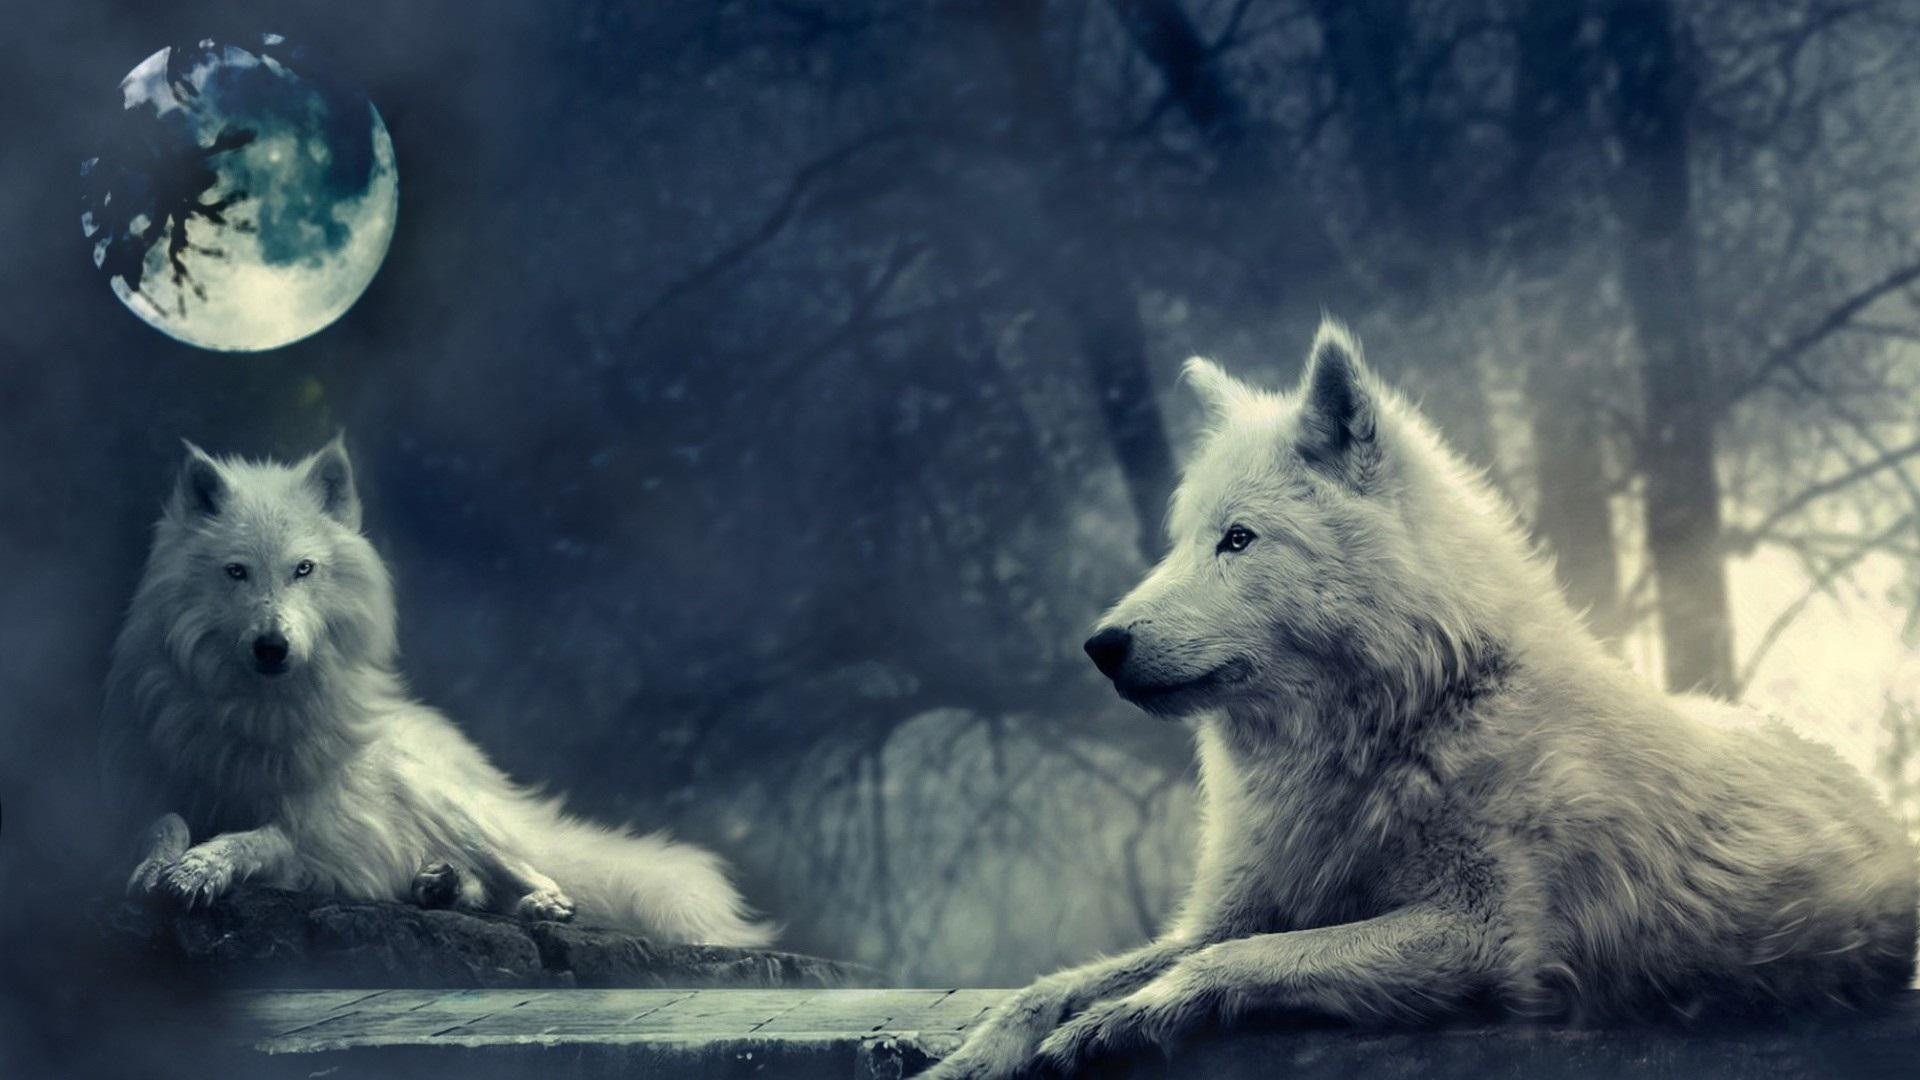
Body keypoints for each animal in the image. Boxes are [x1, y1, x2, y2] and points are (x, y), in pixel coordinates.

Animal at [101, 437, 770, 946]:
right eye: (236, 572)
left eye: (303, 569)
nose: (272, 647)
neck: (257, 714)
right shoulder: (152, 790)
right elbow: (163, 823)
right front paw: (160, 865)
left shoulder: (318, 836)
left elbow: (255, 838)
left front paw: (201, 868)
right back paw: (440, 884)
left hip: (445, 802)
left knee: (532, 871)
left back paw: (535, 903)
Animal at [927, 320, 1918, 1078]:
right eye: (1179, 543)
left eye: (1238, 539)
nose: (1102, 646)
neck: (1413, 718)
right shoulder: (1239, 905)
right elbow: (1057, 983)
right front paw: (978, 1054)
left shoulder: (1484, 938)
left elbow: (1232, 960)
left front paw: (1117, 1022)